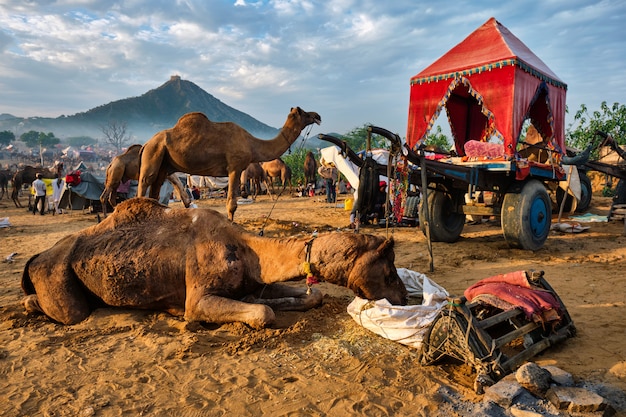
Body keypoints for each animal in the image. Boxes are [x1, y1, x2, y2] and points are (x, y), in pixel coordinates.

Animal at [22, 197, 408, 326]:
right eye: (389, 271)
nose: (405, 297)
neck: (248, 248)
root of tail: (37, 257)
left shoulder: (256, 280)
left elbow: (309, 295)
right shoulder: (199, 298)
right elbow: (263, 313)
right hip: (56, 273)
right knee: (68, 312)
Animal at [137, 106, 322, 221]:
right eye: (304, 113)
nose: (318, 116)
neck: (251, 143)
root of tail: (146, 143)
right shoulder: (235, 167)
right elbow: (232, 205)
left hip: (163, 163)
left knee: (155, 190)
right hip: (153, 153)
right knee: (144, 183)